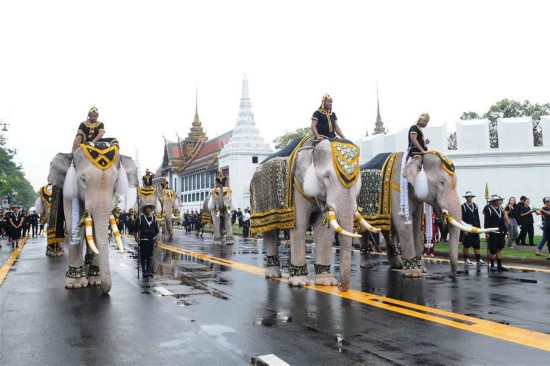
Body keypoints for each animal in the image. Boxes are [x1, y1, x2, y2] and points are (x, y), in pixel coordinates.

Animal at [48, 141, 137, 294]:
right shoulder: (69, 189)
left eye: (116, 181)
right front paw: (76, 284)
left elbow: (96, 230)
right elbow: (73, 227)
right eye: (83, 180)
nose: (104, 291)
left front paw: (95, 281)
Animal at [252, 137, 378, 292]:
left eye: (357, 181)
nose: (341, 288)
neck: (313, 148)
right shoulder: (297, 188)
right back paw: (273, 274)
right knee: (269, 231)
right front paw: (299, 282)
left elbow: (325, 231)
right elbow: (299, 225)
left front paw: (327, 282)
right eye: (327, 177)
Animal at [360, 152, 498, 278]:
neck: (416, 158)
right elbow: (404, 225)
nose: (452, 275)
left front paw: (422, 269)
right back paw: (367, 265)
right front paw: (413, 273)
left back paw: (397, 265)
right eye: (441, 182)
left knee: (388, 230)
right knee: (365, 230)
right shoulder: (397, 190)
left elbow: (416, 226)